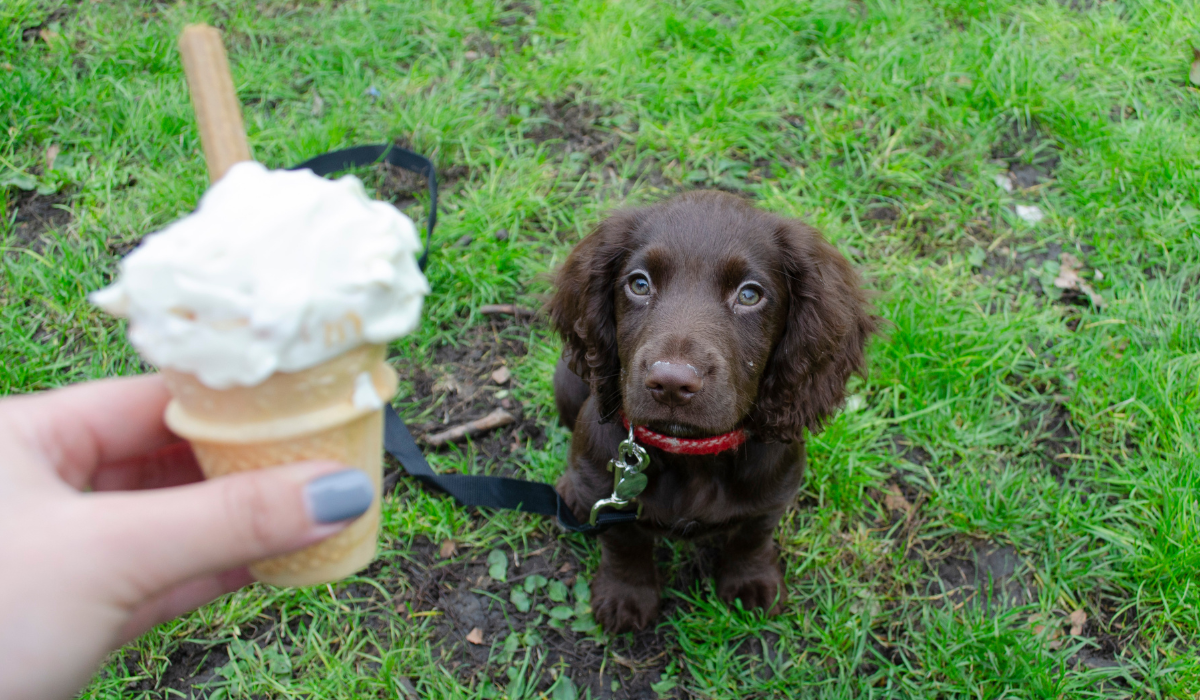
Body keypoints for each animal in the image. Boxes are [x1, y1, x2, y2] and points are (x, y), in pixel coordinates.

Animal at [544, 192, 873, 633]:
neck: (690, 452)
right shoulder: (609, 494)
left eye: (750, 294)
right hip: (567, 381)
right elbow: (623, 542)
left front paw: (752, 581)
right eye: (639, 284)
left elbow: (753, 535)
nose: (671, 383)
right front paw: (625, 595)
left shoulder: (774, 492)